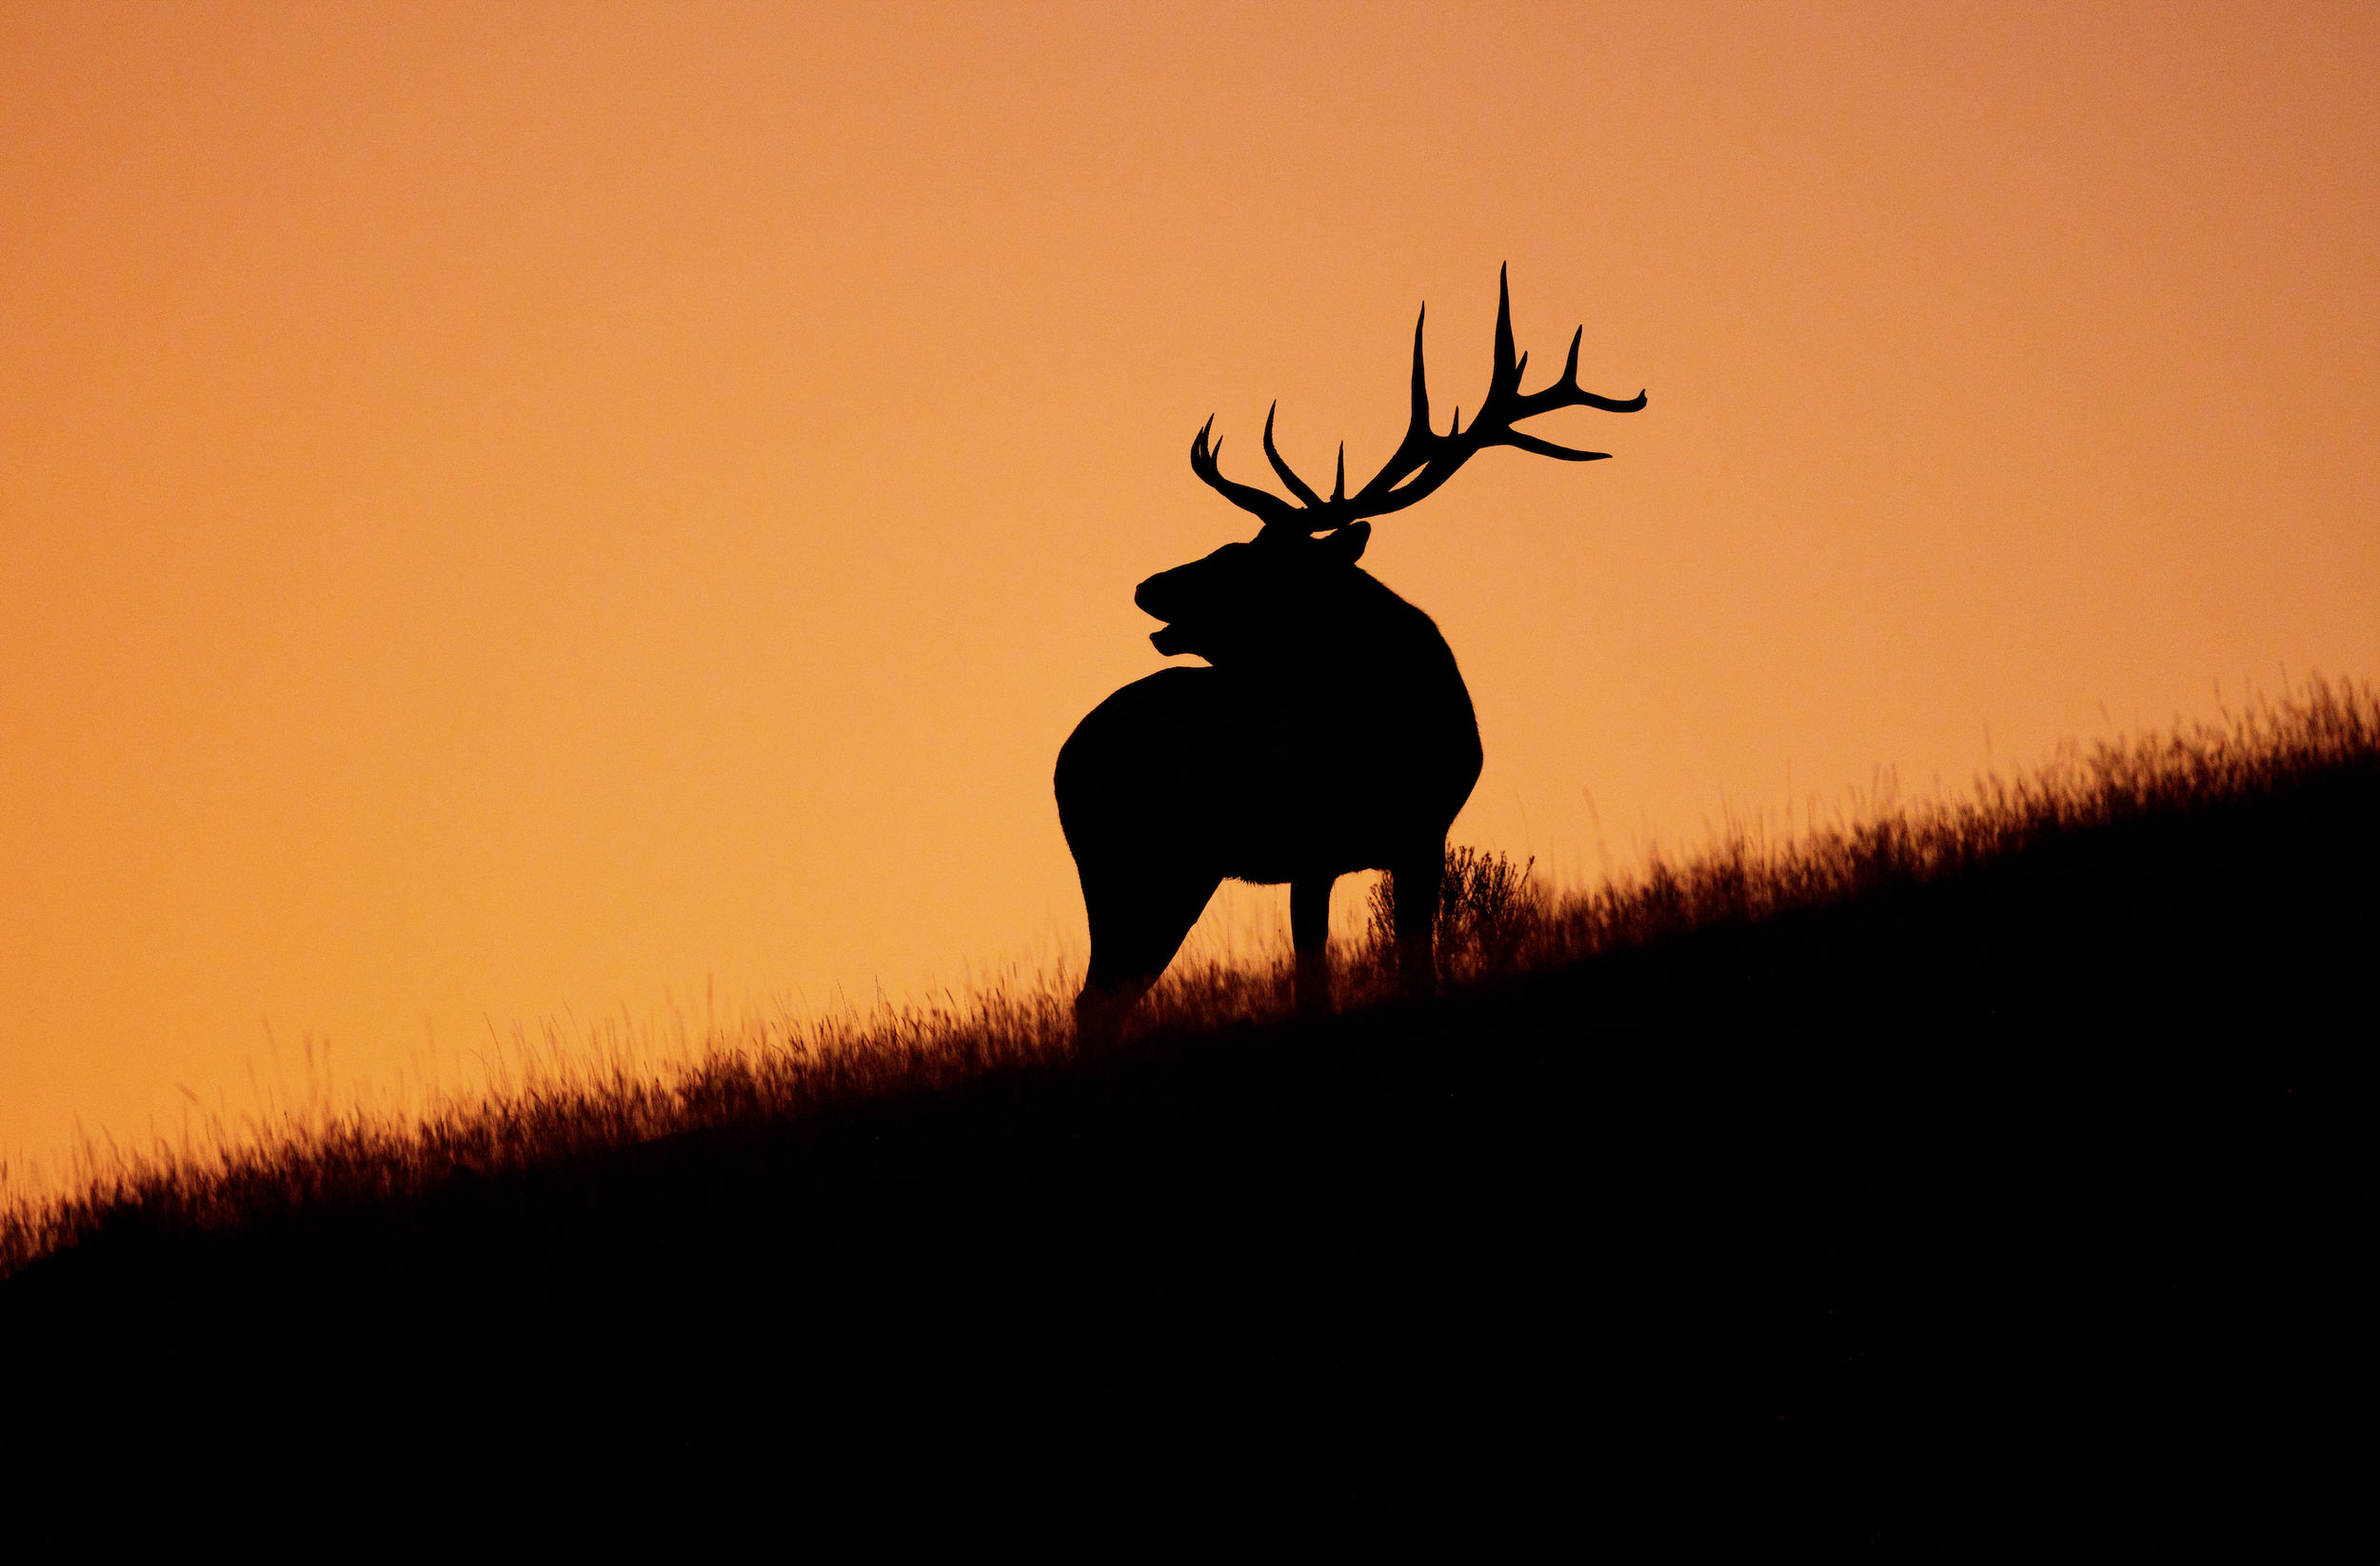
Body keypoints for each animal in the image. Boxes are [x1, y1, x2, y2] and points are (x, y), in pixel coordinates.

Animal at [1055, 267, 1643, 1041]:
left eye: (1247, 562)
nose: (1147, 586)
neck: (1381, 732)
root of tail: (1064, 757)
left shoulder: (1424, 835)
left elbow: (1415, 970)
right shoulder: (1308, 842)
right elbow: (1313, 984)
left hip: (1174, 871)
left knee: (1106, 994)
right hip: (1123, 859)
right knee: (1096, 995)